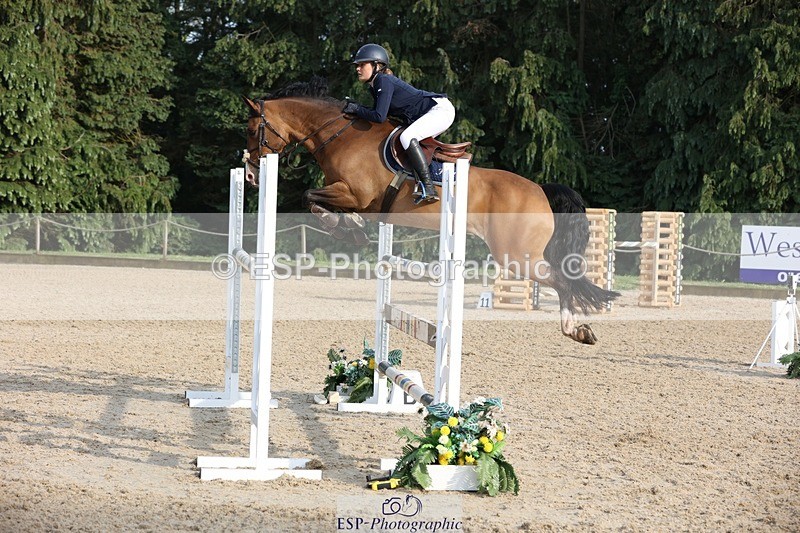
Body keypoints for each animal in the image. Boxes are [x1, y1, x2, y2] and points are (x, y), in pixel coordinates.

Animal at [241, 79, 619, 344]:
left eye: (252, 129)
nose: (250, 176)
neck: (339, 134)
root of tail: (540, 190)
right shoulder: (355, 198)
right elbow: (319, 202)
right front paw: (354, 228)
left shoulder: (353, 193)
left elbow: (311, 197)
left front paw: (348, 229)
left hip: (516, 255)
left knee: (561, 280)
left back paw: (575, 330)